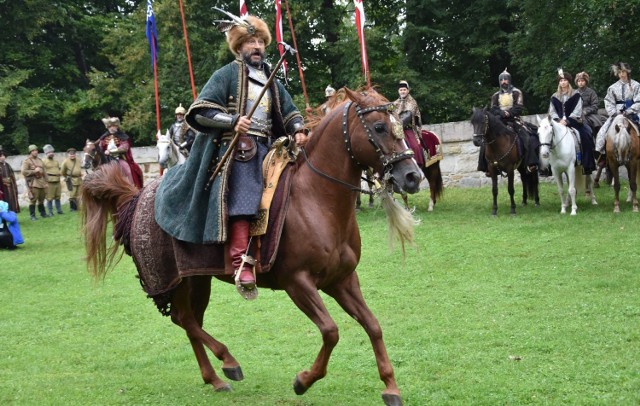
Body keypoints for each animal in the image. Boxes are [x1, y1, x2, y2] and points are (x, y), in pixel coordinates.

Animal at [81, 87, 420, 404]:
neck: (316, 200)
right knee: (185, 319)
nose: (412, 176)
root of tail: (138, 196)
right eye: (379, 127)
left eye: (399, 125)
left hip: (198, 279)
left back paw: (215, 378)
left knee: (189, 320)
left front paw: (390, 387)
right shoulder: (298, 282)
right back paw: (228, 361)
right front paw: (303, 380)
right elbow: (330, 331)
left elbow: (373, 325)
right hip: (175, 280)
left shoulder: (342, 280)